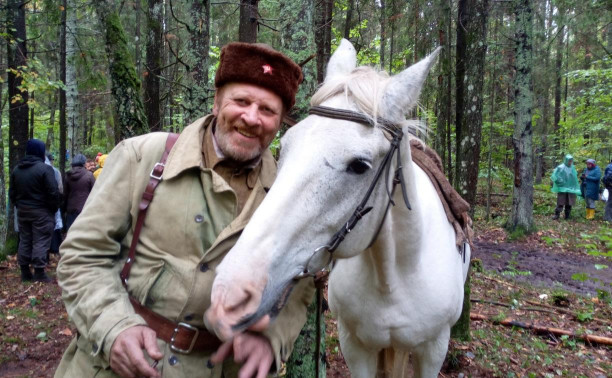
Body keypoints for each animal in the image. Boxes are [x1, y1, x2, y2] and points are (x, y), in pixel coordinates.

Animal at [206, 39, 468, 378]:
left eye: (359, 165)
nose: (231, 295)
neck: (393, 279)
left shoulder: (434, 350)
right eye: (285, 146)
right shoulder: (354, 345)